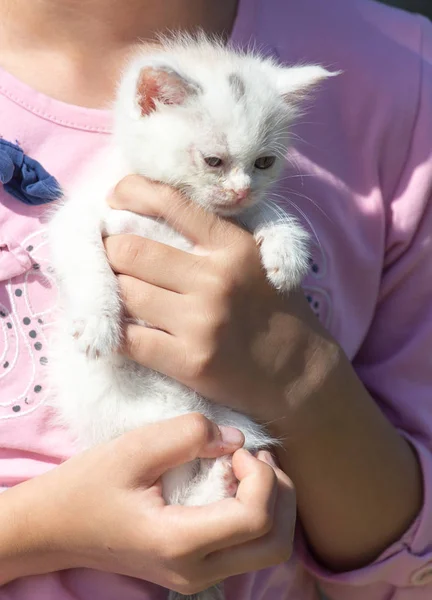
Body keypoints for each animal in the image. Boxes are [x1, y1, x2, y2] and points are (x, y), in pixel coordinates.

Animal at [49, 35, 336, 600]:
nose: (242, 188)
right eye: (213, 160)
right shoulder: (82, 217)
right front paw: (98, 321)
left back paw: (221, 484)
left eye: (265, 162)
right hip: (147, 420)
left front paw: (285, 248)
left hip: (221, 423)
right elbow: (87, 259)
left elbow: (260, 215)